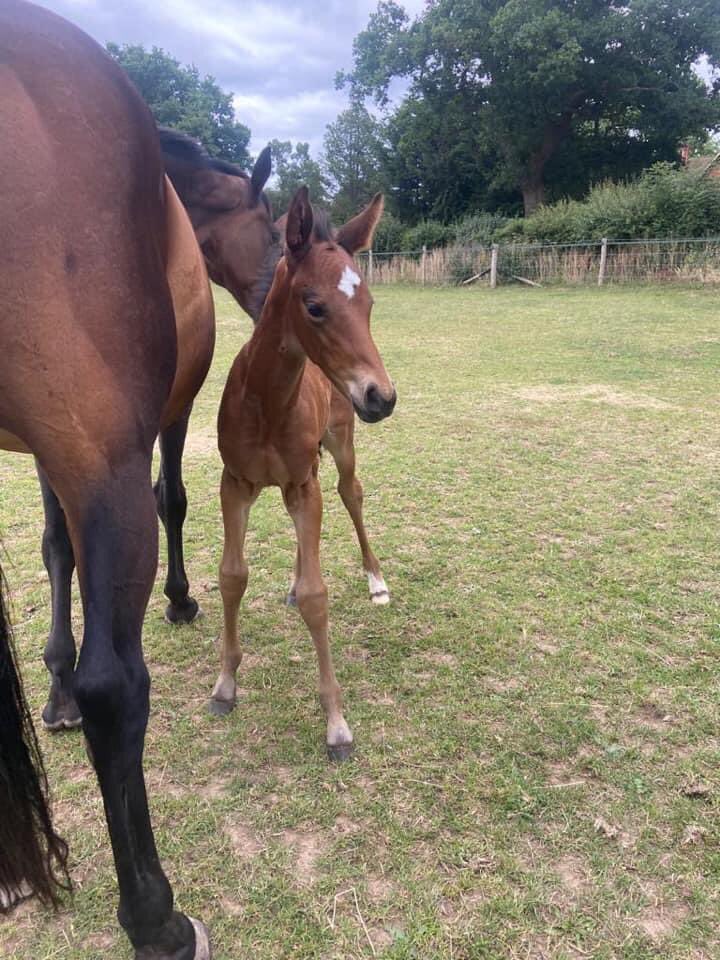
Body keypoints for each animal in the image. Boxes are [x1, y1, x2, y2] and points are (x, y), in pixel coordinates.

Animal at [208, 187, 396, 761]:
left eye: (369, 305)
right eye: (315, 307)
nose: (382, 397)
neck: (268, 402)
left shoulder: (301, 483)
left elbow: (318, 596)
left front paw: (336, 722)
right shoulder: (235, 483)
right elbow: (232, 576)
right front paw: (226, 685)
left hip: (338, 445)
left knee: (351, 493)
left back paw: (376, 580)